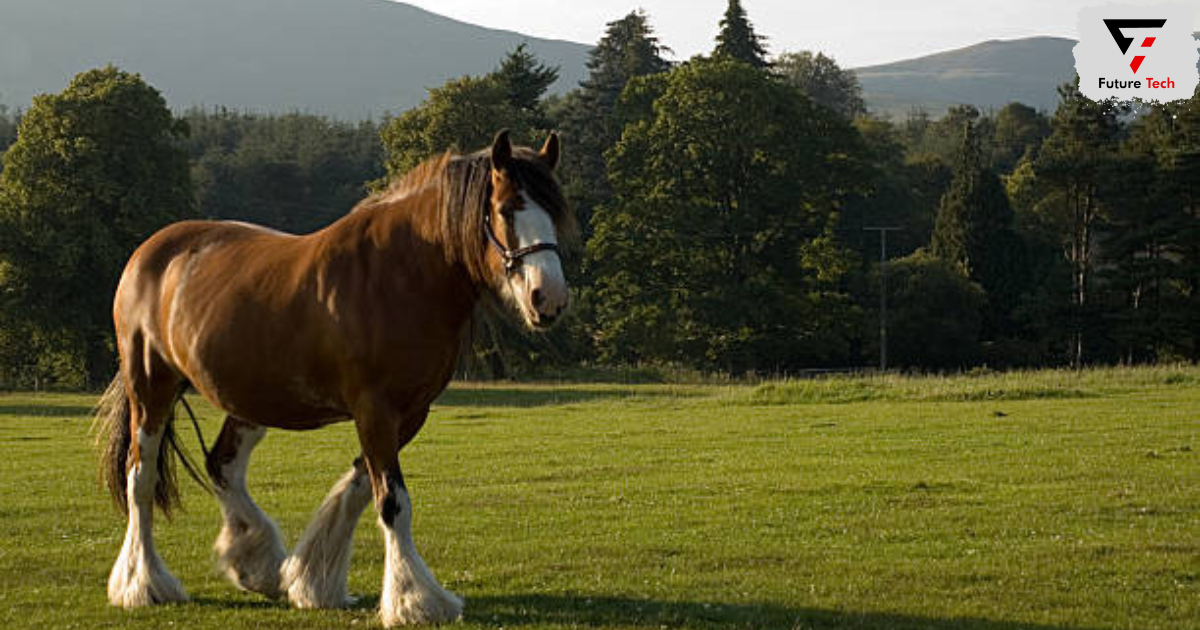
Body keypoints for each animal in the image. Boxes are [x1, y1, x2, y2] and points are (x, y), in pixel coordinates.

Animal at [90, 129, 576, 624]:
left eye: (555, 211)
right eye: (507, 209)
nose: (548, 298)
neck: (401, 274)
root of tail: (149, 251)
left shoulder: (408, 414)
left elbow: (361, 488)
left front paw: (314, 579)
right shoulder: (374, 410)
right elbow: (392, 501)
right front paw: (415, 599)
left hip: (249, 399)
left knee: (222, 465)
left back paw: (256, 563)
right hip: (152, 389)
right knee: (140, 477)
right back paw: (145, 583)